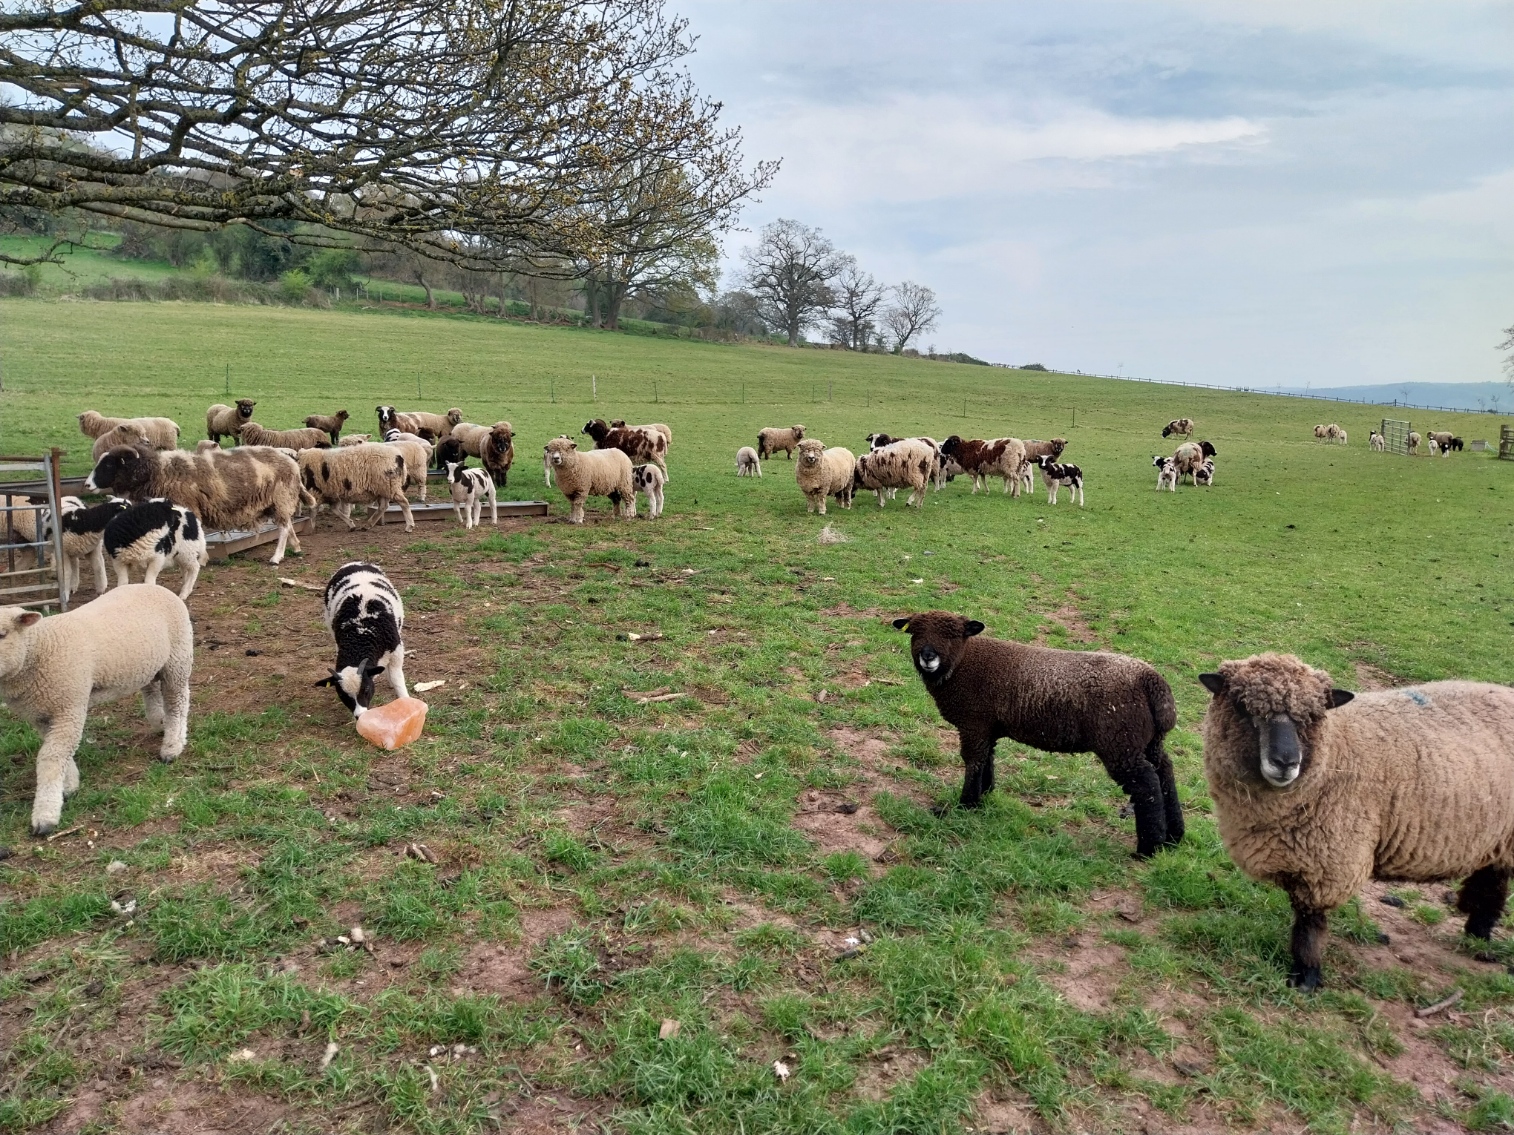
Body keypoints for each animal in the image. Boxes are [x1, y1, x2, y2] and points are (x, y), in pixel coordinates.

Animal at [0, 586, 193, 835]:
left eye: (3, 634)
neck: (39, 648)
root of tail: (153, 585)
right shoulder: (43, 715)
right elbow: (58, 753)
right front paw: (69, 785)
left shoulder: (69, 707)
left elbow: (50, 757)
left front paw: (46, 816)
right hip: (149, 663)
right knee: (151, 692)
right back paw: (162, 723)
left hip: (178, 659)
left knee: (177, 701)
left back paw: (172, 745)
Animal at [86, 441, 307, 564]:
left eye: (108, 464)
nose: (87, 484)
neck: (159, 471)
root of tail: (291, 461)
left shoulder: (187, 505)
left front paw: (199, 559)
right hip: (278, 501)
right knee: (287, 524)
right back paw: (296, 547)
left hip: (281, 496)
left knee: (283, 528)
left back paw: (276, 557)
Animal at [315, 562, 407, 718]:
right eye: (342, 695)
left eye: (366, 689)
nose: (360, 715)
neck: (360, 636)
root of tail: (354, 562)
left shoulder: (396, 651)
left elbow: (397, 680)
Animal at [894, 611, 1183, 856]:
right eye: (915, 632)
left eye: (954, 635)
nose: (928, 656)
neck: (965, 663)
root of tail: (1152, 682)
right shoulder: (988, 726)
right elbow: (987, 759)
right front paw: (985, 796)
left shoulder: (974, 724)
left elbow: (973, 761)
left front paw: (966, 805)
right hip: (1148, 741)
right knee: (1165, 771)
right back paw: (1174, 837)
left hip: (1120, 742)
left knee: (1146, 783)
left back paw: (1148, 848)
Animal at [1199, 653, 1514, 991]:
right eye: (1243, 706)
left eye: (1314, 715)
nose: (1286, 763)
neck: (1336, 751)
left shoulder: (1328, 863)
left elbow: (1310, 922)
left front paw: (1306, 976)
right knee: (1492, 880)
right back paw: (1477, 935)